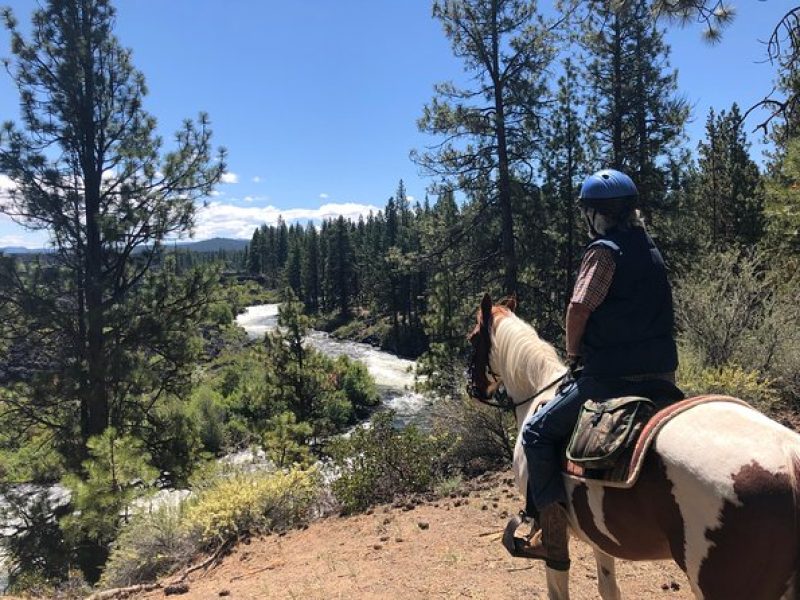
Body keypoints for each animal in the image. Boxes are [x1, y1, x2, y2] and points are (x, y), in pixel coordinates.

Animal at [466, 296, 800, 600]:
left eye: (472, 338)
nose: (472, 388)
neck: (539, 392)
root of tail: (789, 458)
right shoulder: (599, 537)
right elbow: (608, 588)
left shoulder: (553, 541)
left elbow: (558, 588)